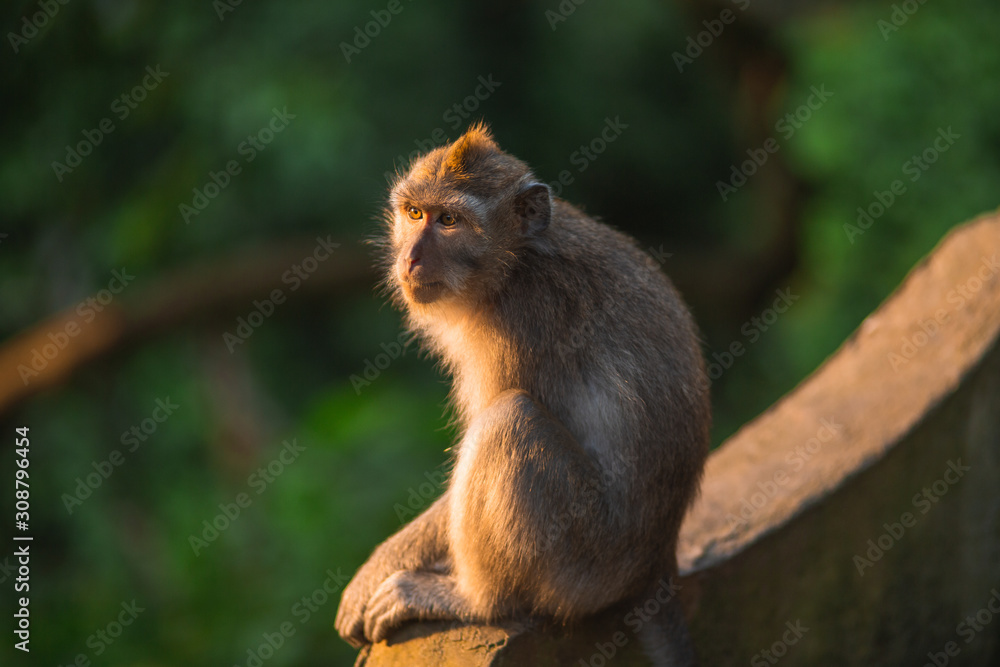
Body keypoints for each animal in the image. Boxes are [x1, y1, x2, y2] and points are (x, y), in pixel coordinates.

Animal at [336, 122, 712, 664]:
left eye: (450, 221)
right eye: (414, 213)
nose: (411, 258)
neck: (517, 263)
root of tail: (653, 568)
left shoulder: (518, 328)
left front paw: (377, 568)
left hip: (583, 562)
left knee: (509, 419)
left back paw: (474, 599)